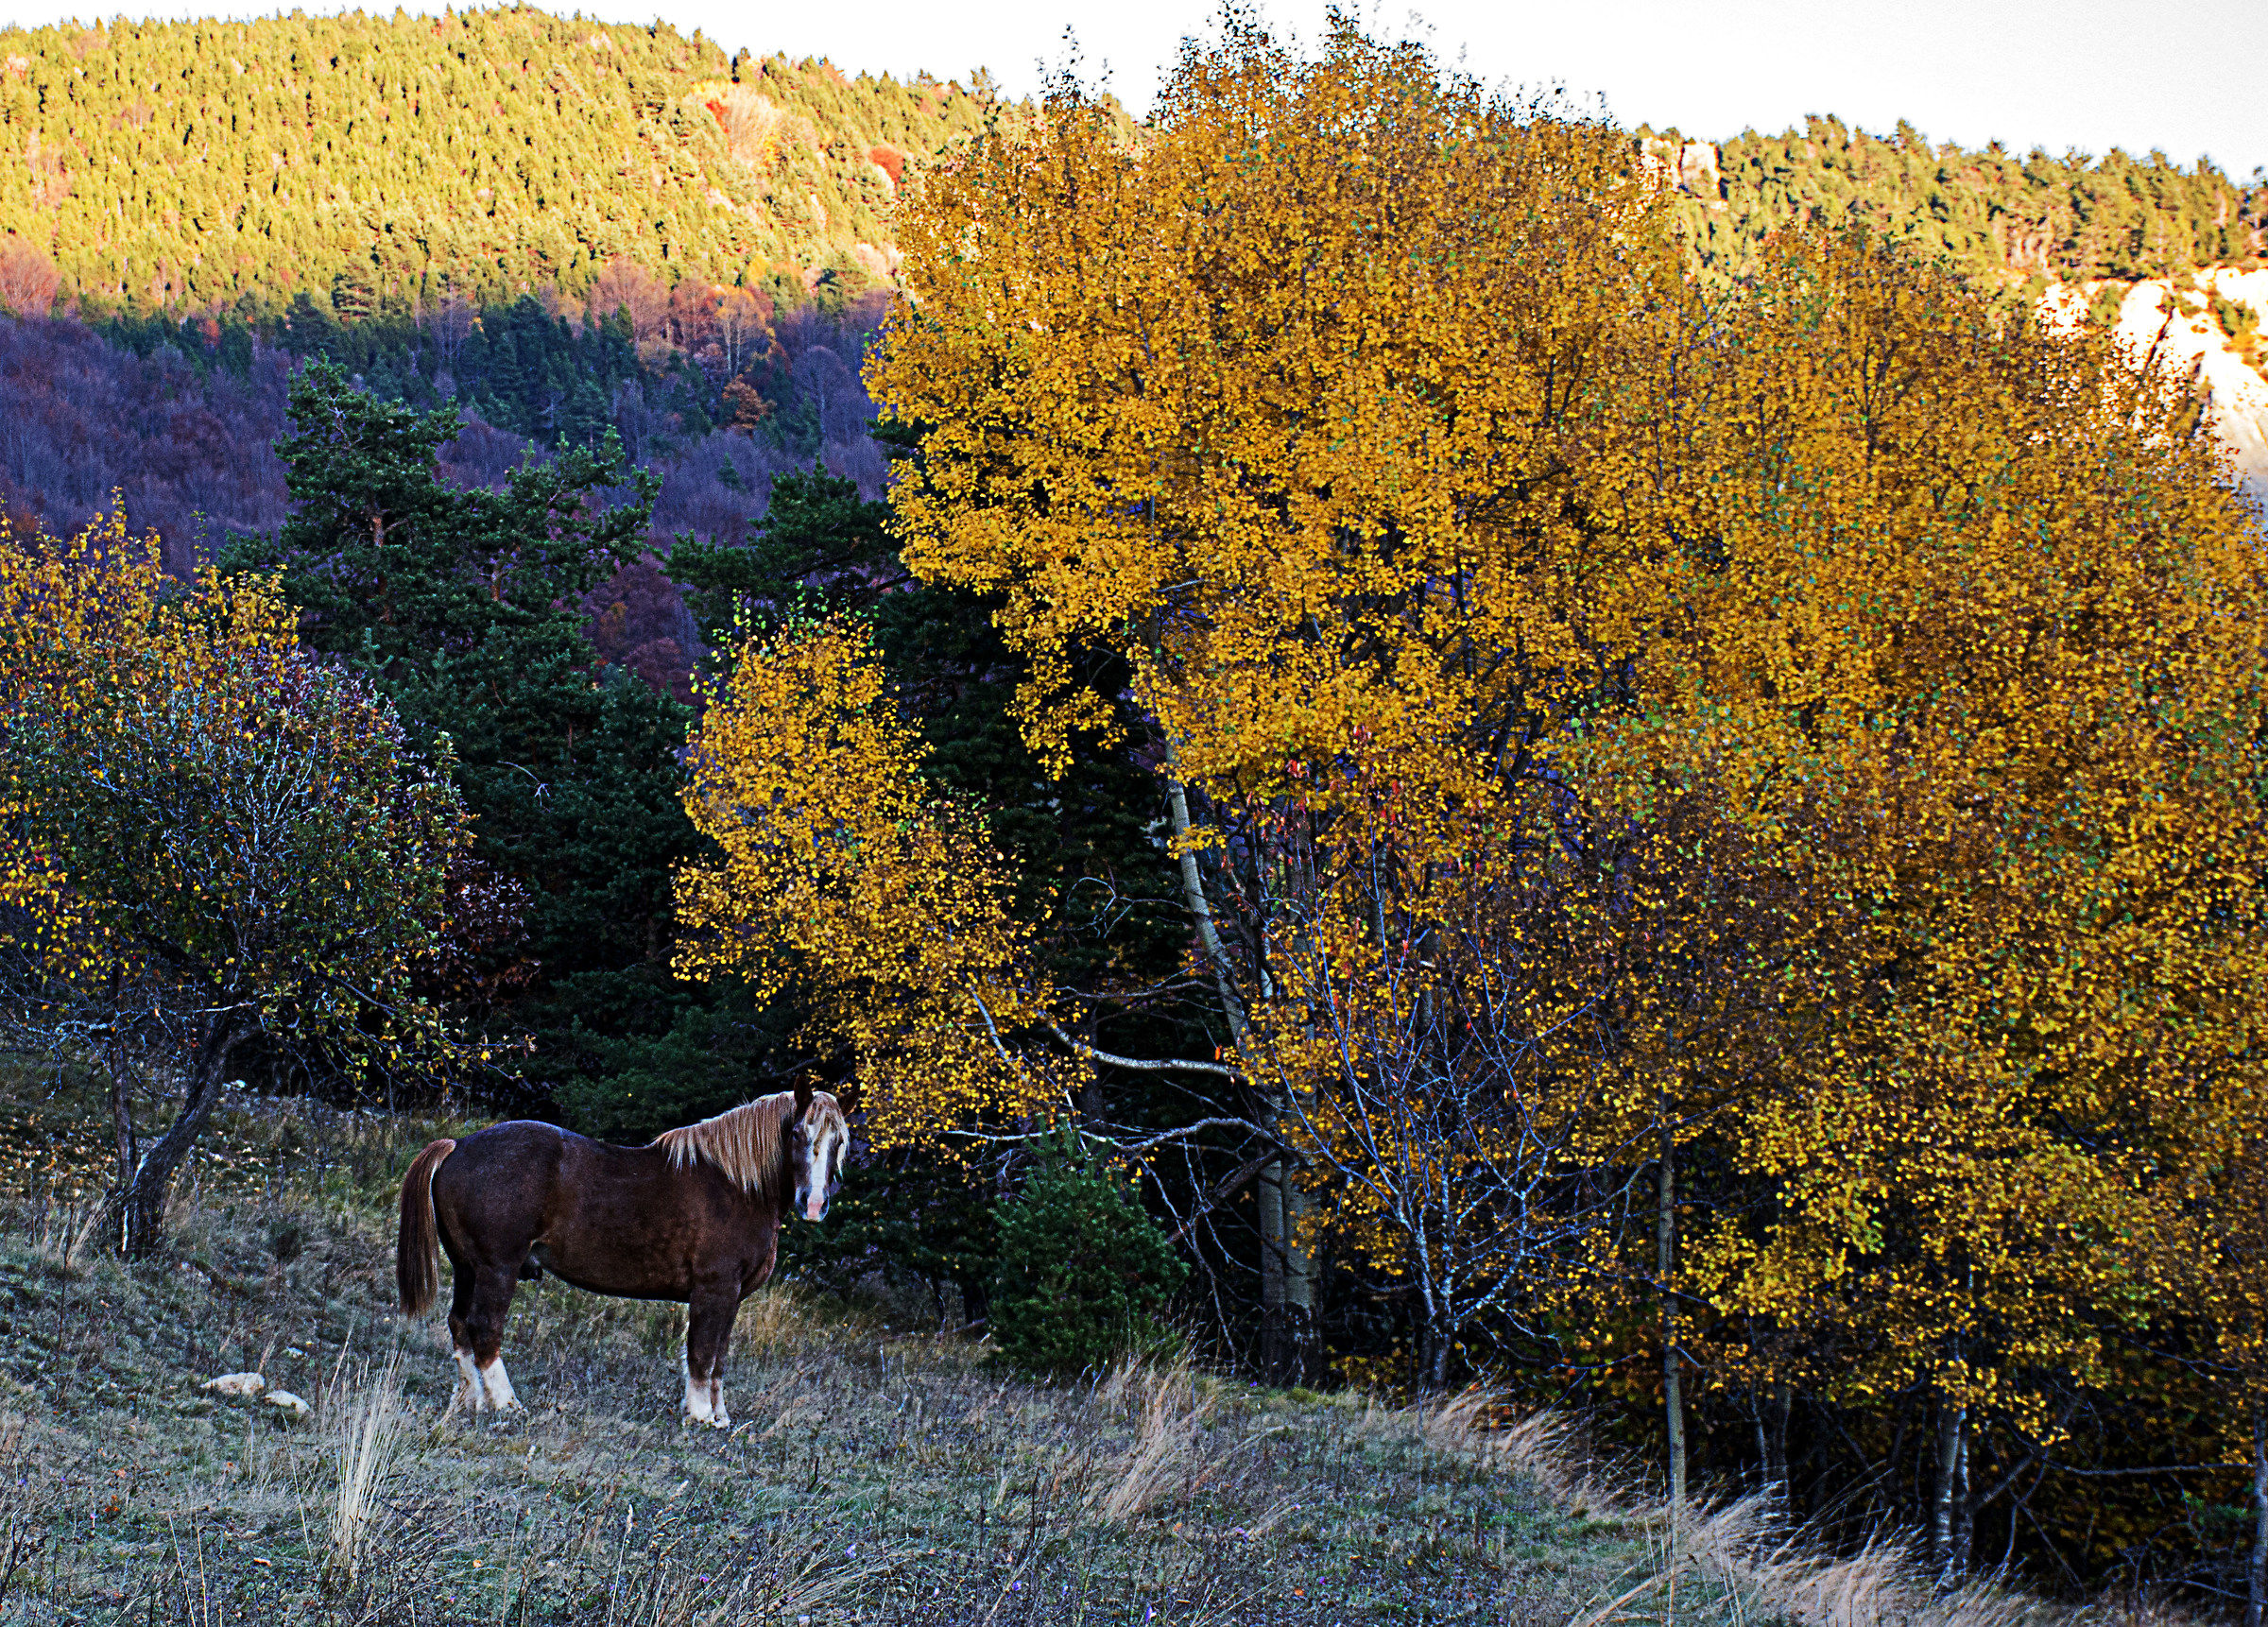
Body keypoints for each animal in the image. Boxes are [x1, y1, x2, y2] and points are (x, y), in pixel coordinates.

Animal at [395, 1083, 848, 1427]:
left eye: (839, 1141)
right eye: (797, 1134)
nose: (814, 1204)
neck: (737, 1186)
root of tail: (458, 1146)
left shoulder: (732, 1299)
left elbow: (718, 1359)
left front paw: (719, 1417)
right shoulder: (714, 1291)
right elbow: (702, 1355)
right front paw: (701, 1416)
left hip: (468, 1268)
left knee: (459, 1327)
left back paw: (473, 1401)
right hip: (496, 1270)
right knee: (484, 1329)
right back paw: (507, 1405)